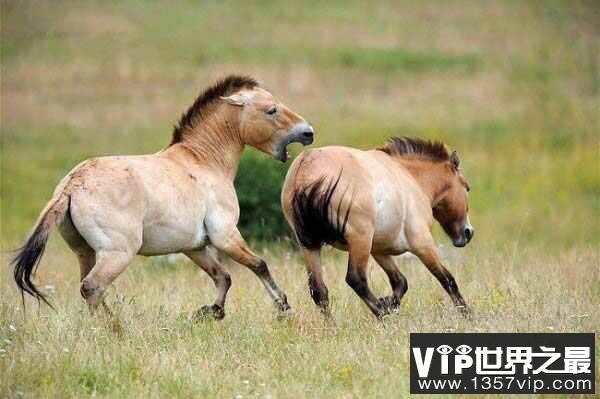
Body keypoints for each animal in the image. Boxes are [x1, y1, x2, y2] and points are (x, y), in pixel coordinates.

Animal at [12, 74, 314, 318]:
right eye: (271, 110)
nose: (308, 132)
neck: (203, 161)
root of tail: (72, 185)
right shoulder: (225, 235)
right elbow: (258, 265)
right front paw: (283, 307)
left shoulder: (194, 245)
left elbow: (223, 277)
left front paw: (211, 312)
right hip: (118, 253)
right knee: (93, 287)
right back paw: (116, 330)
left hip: (85, 252)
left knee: (88, 288)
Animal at [282, 139, 474, 320]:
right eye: (467, 187)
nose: (468, 232)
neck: (411, 179)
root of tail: (307, 169)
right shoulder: (422, 244)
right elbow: (447, 280)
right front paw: (468, 316)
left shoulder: (379, 250)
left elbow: (400, 282)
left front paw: (390, 303)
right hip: (359, 241)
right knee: (356, 279)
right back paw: (381, 314)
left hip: (310, 245)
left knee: (319, 290)